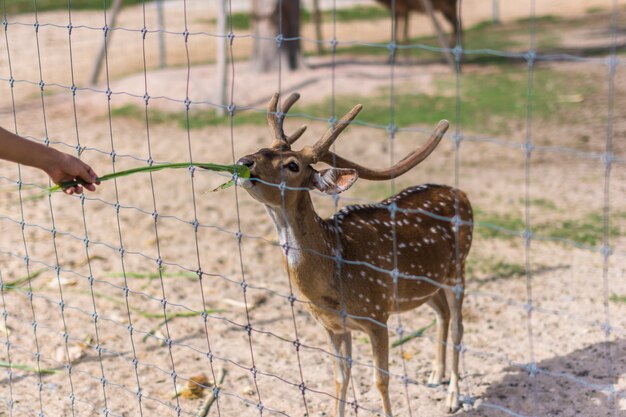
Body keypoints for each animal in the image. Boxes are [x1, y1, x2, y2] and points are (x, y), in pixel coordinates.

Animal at [235, 92, 472, 414]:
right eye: (264, 147)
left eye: (293, 165)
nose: (244, 161)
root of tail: (461, 193)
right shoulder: (332, 326)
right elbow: (340, 378)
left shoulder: (377, 314)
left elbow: (380, 381)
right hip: (425, 282)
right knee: (442, 313)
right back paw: (436, 375)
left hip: (459, 267)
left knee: (460, 326)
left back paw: (453, 396)